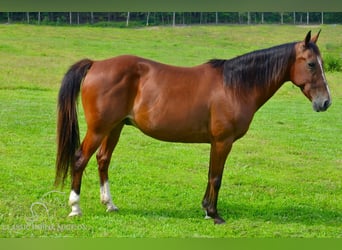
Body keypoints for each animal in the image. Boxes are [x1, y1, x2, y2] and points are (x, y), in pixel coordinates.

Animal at [55, 30, 332, 224]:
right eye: (311, 64)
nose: (325, 102)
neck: (234, 85)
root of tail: (95, 64)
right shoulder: (223, 141)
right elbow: (216, 177)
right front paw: (214, 214)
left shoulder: (216, 142)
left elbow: (211, 174)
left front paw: (207, 209)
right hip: (99, 129)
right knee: (80, 159)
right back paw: (75, 207)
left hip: (115, 128)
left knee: (103, 160)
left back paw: (109, 204)